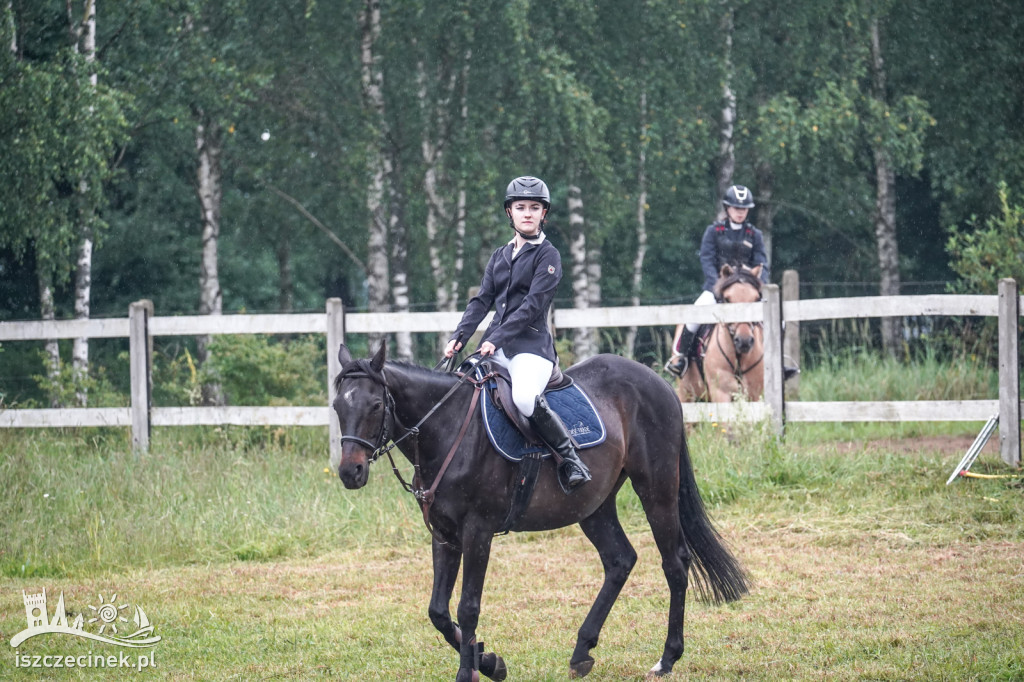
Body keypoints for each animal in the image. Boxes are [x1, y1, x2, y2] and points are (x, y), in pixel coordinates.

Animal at [331, 342, 749, 675]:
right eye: (336, 405)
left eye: (375, 404)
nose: (350, 472)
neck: (449, 429)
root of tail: (657, 381)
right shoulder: (445, 534)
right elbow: (438, 611)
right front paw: (489, 662)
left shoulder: (478, 532)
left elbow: (468, 607)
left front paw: (471, 671)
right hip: (593, 505)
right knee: (620, 560)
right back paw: (582, 651)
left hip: (657, 488)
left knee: (674, 563)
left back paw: (667, 658)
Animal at [675, 264, 765, 403]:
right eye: (727, 299)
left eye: (756, 299)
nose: (744, 341)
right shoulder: (721, 393)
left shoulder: (754, 395)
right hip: (685, 392)